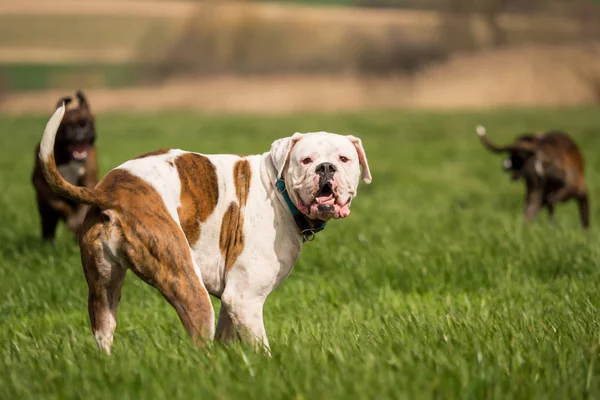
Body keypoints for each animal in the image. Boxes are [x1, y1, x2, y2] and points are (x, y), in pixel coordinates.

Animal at [31, 90, 97, 241]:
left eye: (88, 123)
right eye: (69, 125)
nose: (81, 132)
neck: (69, 158)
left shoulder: (88, 181)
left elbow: (81, 209)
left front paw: (76, 222)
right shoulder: (41, 183)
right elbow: (57, 203)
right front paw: (70, 219)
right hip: (45, 211)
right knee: (48, 224)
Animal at [37, 103, 370, 354]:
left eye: (344, 158)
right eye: (306, 160)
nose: (326, 167)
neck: (278, 189)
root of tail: (111, 191)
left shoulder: (232, 301)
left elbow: (227, 337)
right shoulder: (245, 299)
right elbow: (260, 348)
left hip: (103, 288)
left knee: (103, 330)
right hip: (185, 280)